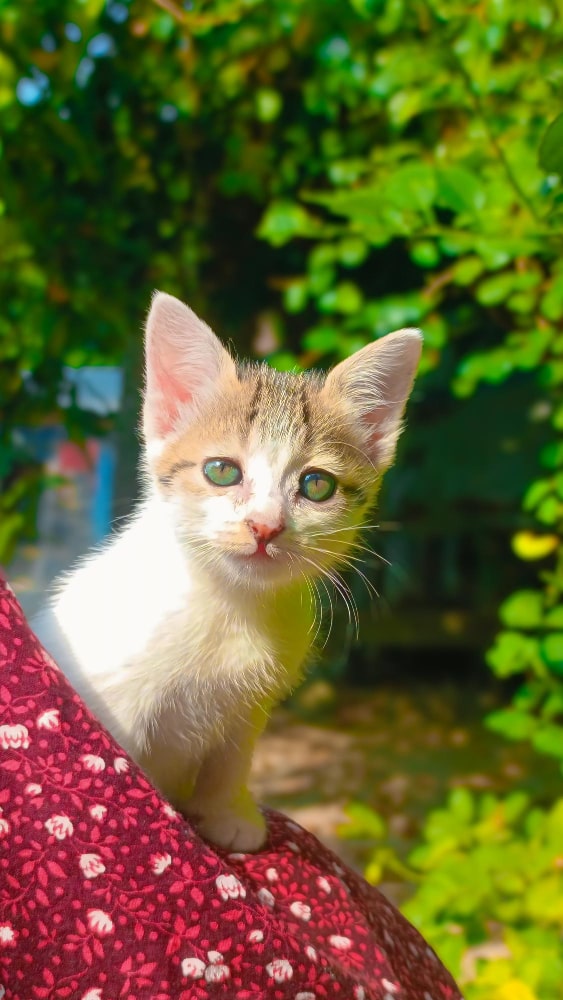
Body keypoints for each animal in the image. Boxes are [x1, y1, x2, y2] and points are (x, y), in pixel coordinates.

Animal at [34, 290, 424, 852]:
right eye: (222, 471)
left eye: (317, 485)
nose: (265, 526)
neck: (230, 604)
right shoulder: (108, 700)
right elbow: (119, 768)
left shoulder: (248, 705)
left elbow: (232, 758)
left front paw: (228, 812)